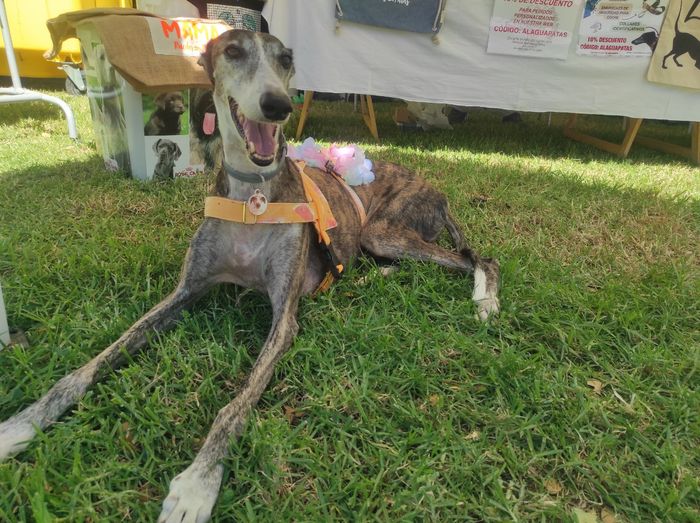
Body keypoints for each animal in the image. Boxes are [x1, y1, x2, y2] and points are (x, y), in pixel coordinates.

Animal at [0, 29, 504, 523]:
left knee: (483, 259)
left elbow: (234, 405)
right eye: (233, 51)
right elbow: (91, 364)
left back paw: (485, 301)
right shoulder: (184, 292)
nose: (278, 104)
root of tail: (436, 189)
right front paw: (23, 423)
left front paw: (197, 484)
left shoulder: (284, 318)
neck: (252, 196)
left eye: (286, 60)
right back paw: (368, 279)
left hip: (384, 231)